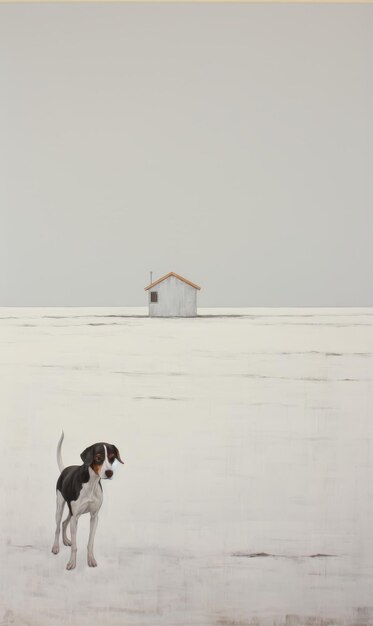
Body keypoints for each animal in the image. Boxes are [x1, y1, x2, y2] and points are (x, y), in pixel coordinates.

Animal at [51, 432, 123, 568]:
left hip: (70, 512)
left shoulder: (94, 517)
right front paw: (72, 563)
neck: (91, 484)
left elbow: (90, 543)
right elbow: (75, 546)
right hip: (60, 506)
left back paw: (65, 541)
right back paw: (56, 547)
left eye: (112, 457)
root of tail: (64, 470)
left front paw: (91, 559)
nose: (109, 473)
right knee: (57, 527)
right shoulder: (75, 518)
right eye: (98, 457)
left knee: (64, 523)